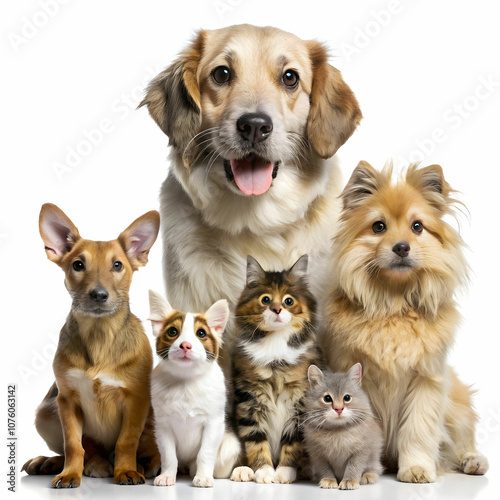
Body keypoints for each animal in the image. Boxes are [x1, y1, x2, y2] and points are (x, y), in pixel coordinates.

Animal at [23, 204, 160, 488]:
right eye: (78, 264)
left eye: (117, 265)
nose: (98, 295)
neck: (100, 337)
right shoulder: (66, 401)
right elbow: (74, 444)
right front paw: (70, 473)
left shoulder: (137, 399)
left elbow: (126, 441)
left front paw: (126, 470)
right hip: (45, 410)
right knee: (86, 449)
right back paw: (54, 462)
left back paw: (146, 463)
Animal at [229, 256, 320, 482]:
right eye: (265, 300)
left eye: (288, 301)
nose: (277, 309)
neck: (275, 345)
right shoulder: (249, 402)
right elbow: (256, 442)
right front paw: (264, 471)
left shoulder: (299, 406)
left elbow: (293, 444)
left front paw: (285, 472)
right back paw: (242, 471)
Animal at [300, 362, 382, 490]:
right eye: (327, 398)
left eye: (347, 397)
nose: (338, 409)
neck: (337, 431)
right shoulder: (317, 454)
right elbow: (324, 469)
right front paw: (329, 480)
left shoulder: (361, 451)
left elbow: (353, 467)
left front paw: (349, 481)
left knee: (375, 468)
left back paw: (368, 476)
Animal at [322, 162, 490, 482]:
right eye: (379, 226)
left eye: (417, 227)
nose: (401, 247)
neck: (394, 306)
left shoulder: (425, 381)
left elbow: (418, 431)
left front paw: (416, 469)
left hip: (456, 403)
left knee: (462, 440)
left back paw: (473, 460)